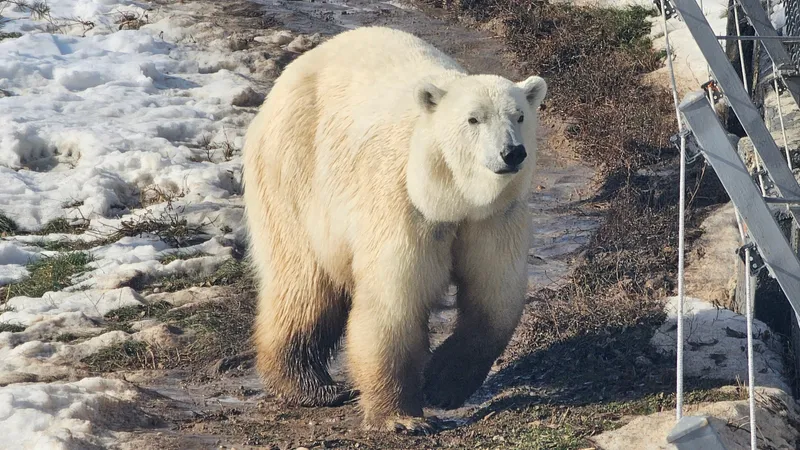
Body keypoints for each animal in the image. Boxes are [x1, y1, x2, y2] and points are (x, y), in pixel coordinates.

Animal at [241, 25, 548, 432]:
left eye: (519, 116)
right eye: (473, 119)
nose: (512, 153)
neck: (453, 198)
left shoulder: (493, 219)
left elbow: (494, 298)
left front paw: (441, 385)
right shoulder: (404, 208)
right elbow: (394, 303)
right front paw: (401, 418)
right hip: (293, 174)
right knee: (303, 282)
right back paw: (310, 386)